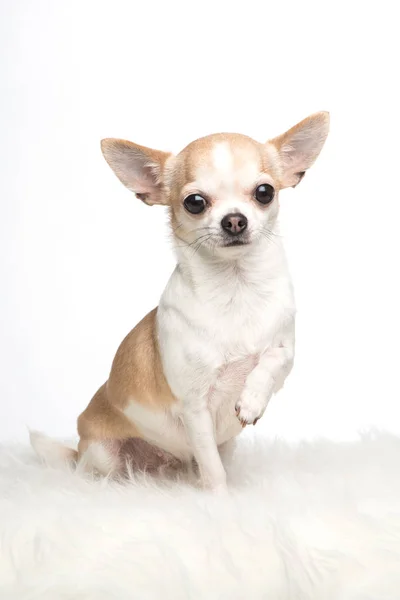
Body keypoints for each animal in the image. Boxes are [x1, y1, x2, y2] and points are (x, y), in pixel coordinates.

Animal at [32, 111, 328, 488]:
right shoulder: (195, 408)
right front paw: (222, 500)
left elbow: (273, 358)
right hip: (103, 453)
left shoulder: (285, 353)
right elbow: (215, 473)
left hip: (220, 445)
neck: (236, 290)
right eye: (195, 202)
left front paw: (251, 400)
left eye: (264, 192)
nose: (234, 220)